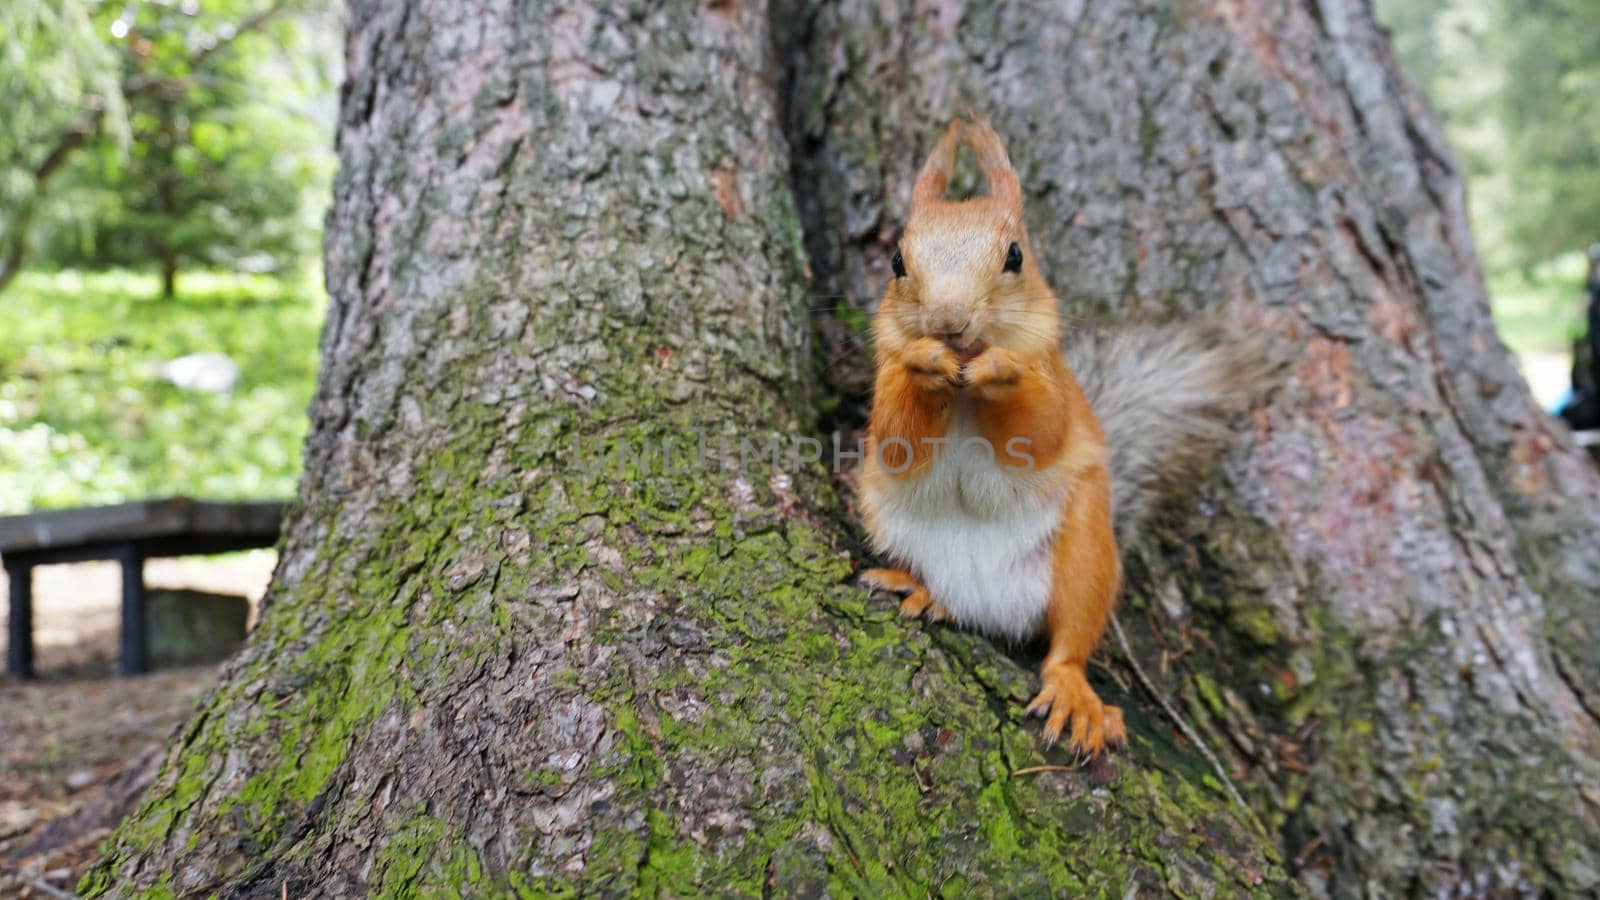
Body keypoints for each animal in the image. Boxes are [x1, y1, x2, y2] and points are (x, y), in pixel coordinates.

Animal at [864, 115, 1260, 752]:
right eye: (898, 261)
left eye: (1015, 256)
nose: (949, 322)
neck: (963, 388)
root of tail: (988, 600)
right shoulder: (886, 383)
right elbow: (896, 438)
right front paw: (925, 362)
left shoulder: (1056, 385)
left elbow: (1041, 429)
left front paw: (1002, 371)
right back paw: (922, 591)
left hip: (1085, 560)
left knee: (1068, 644)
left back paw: (1075, 696)